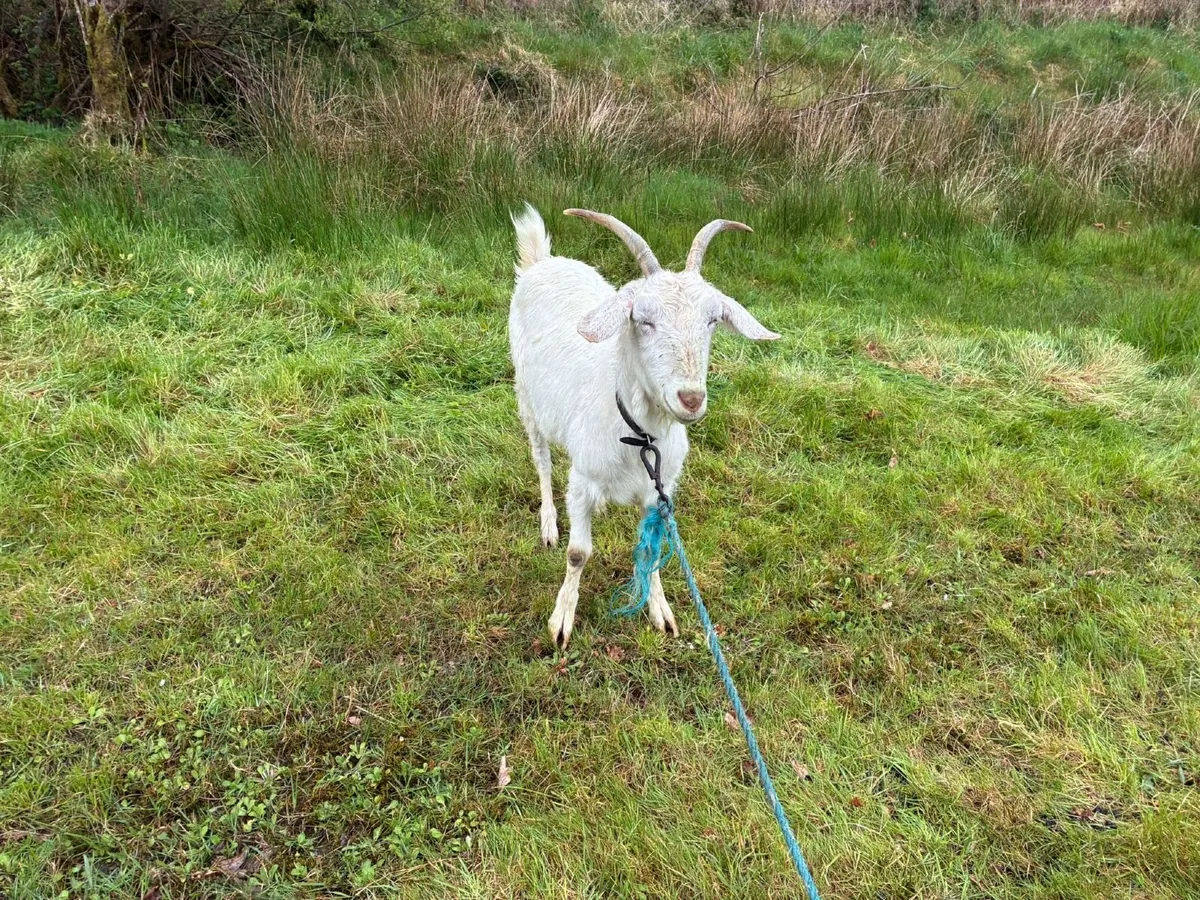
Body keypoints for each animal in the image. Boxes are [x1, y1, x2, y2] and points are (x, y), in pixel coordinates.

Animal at [508, 205, 779, 648]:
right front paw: (562, 620)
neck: (639, 436)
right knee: (542, 459)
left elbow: (651, 552)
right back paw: (548, 522)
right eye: (643, 319)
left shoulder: (660, 490)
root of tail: (542, 261)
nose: (691, 399)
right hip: (527, 399)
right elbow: (578, 552)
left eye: (712, 320)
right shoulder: (581, 482)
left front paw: (660, 612)